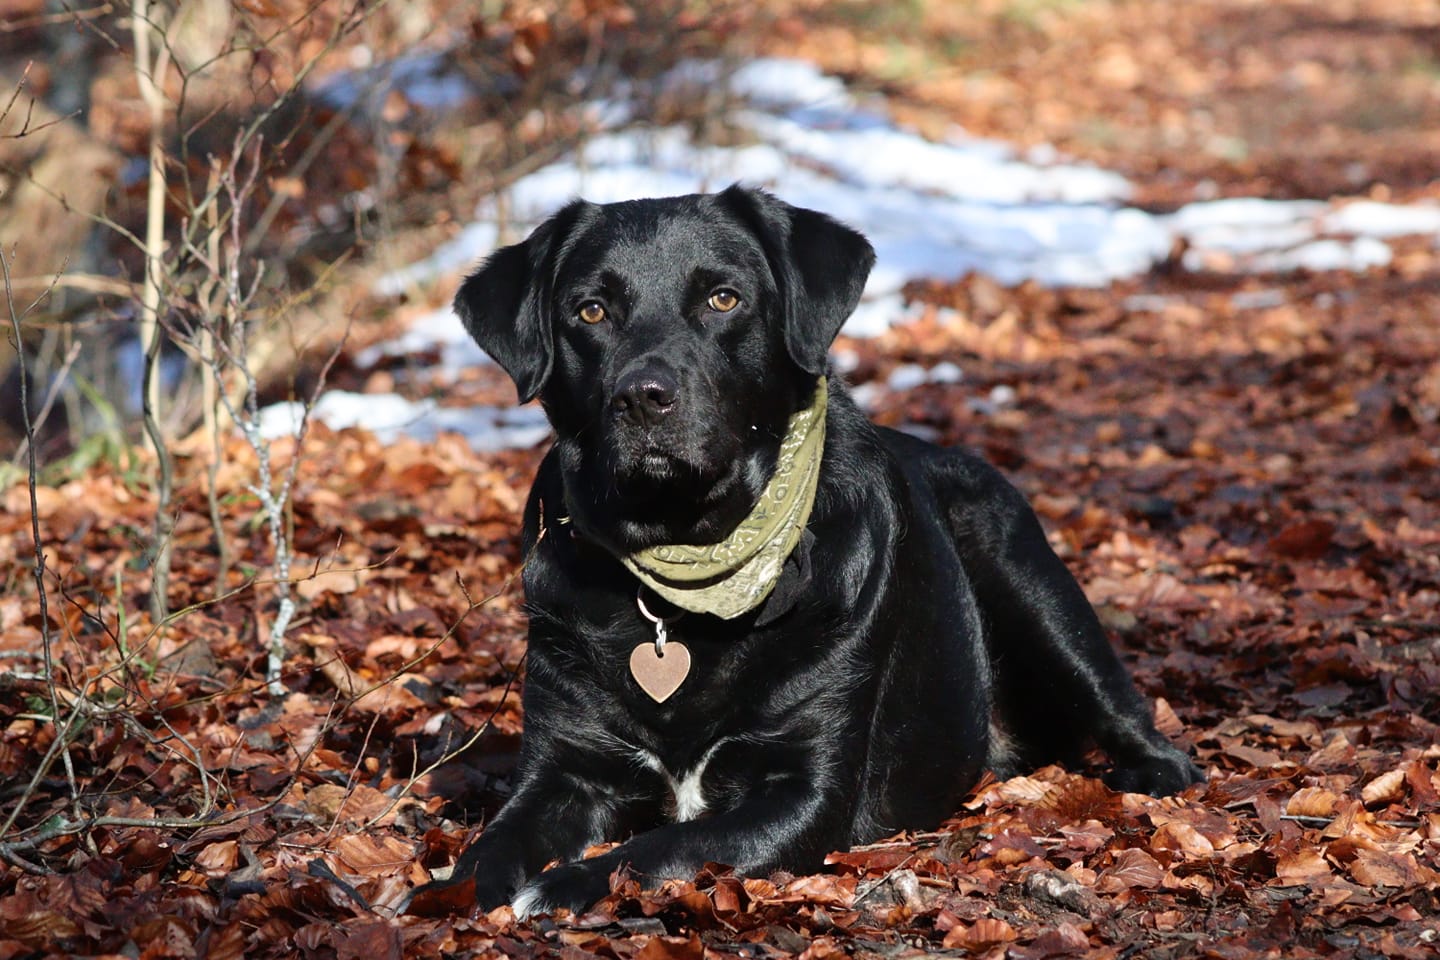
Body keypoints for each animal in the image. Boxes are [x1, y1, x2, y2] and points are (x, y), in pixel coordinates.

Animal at [420, 185, 1198, 915]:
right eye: (589, 312)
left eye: (724, 298)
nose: (643, 397)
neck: (688, 563)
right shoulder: (563, 767)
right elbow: (495, 842)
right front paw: (448, 894)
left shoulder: (803, 790)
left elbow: (664, 844)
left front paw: (563, 885)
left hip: (1030, 581)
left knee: (1122, 706)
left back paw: (1158, 774)